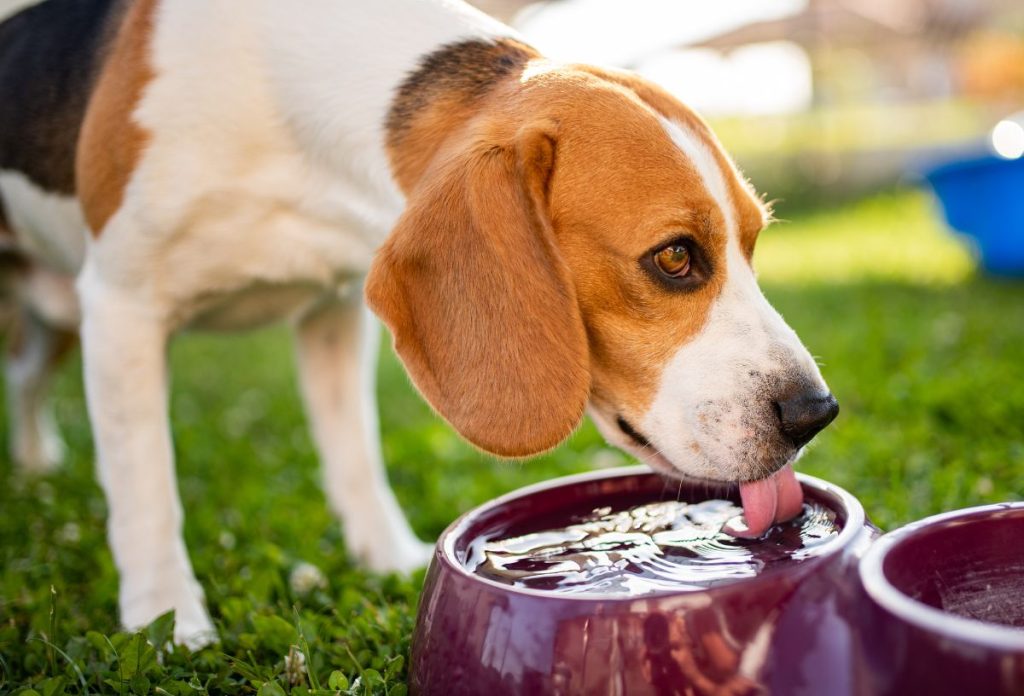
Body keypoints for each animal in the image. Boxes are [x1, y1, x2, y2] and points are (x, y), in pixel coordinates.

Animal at [0, 0, 835, 646]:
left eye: (754, 243)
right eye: (675, 257)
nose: (814, 413)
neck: (287, 112)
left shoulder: (334, 308)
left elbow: (355, 453)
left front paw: (387, 558)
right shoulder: (123, 304)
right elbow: (146, 488)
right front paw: (167, 622)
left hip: (57, 314)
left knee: (28, 378)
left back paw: (37, 459)